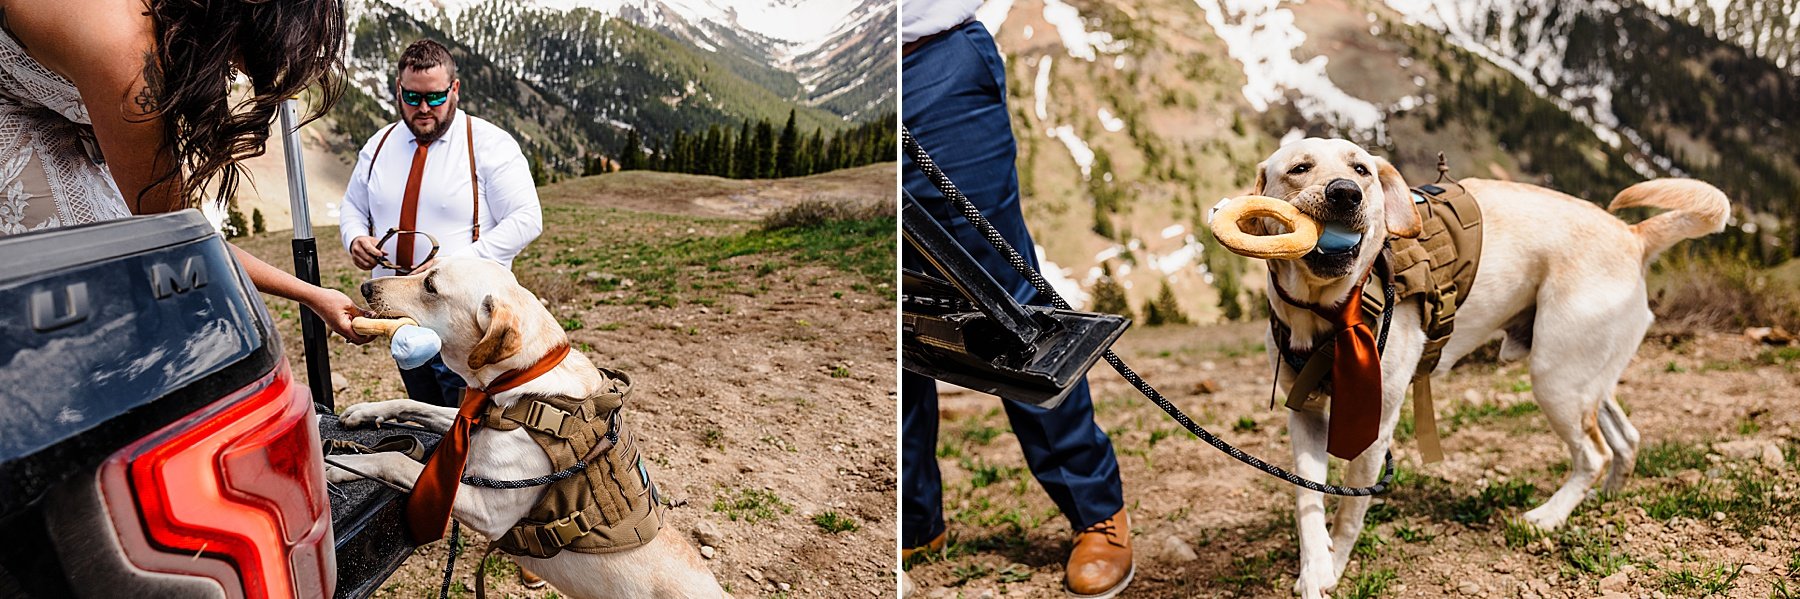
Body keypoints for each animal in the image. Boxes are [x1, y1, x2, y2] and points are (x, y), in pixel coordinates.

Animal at [324, 257, 723, 597]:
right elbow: (416, 405)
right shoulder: (469, 422)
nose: (364, 286)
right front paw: (364, 411)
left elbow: (397, 460)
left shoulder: (487, 510)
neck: (522, 380)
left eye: (430, 286)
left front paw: (342, 465)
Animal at [1245, 137, 1735, 593]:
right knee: (1625, 440)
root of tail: (1633, 236)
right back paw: (1604, 499)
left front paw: (1337, 567)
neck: (1325, 310)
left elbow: (1349, 510)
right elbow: (1308, 501)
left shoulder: (1375, 425)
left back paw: (1549, 516)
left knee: (1595, 454)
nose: (1345, 192)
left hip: (1554, 378)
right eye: (1299, 168)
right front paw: (1315, 570)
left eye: (1361, 170)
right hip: (1584, 376)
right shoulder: (1306, 416)